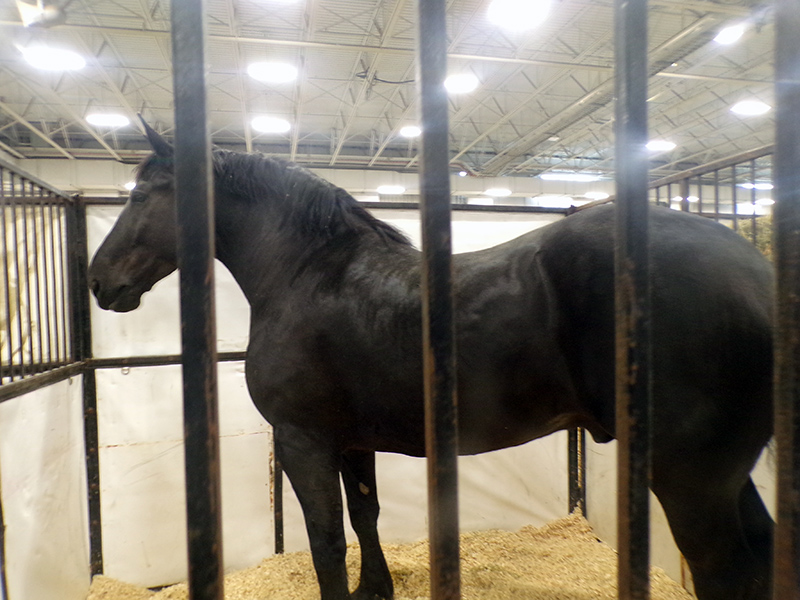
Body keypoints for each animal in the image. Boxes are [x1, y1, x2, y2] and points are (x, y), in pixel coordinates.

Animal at [89, 125, 776, 600]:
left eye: (145, 193)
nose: (98, 281)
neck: (310, 275)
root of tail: (756, 271)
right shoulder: (349, 441)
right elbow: (364, 516)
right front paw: (375, 590)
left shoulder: (301, 439)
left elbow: (325, 540)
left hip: (690, 477)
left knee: (724, 572)